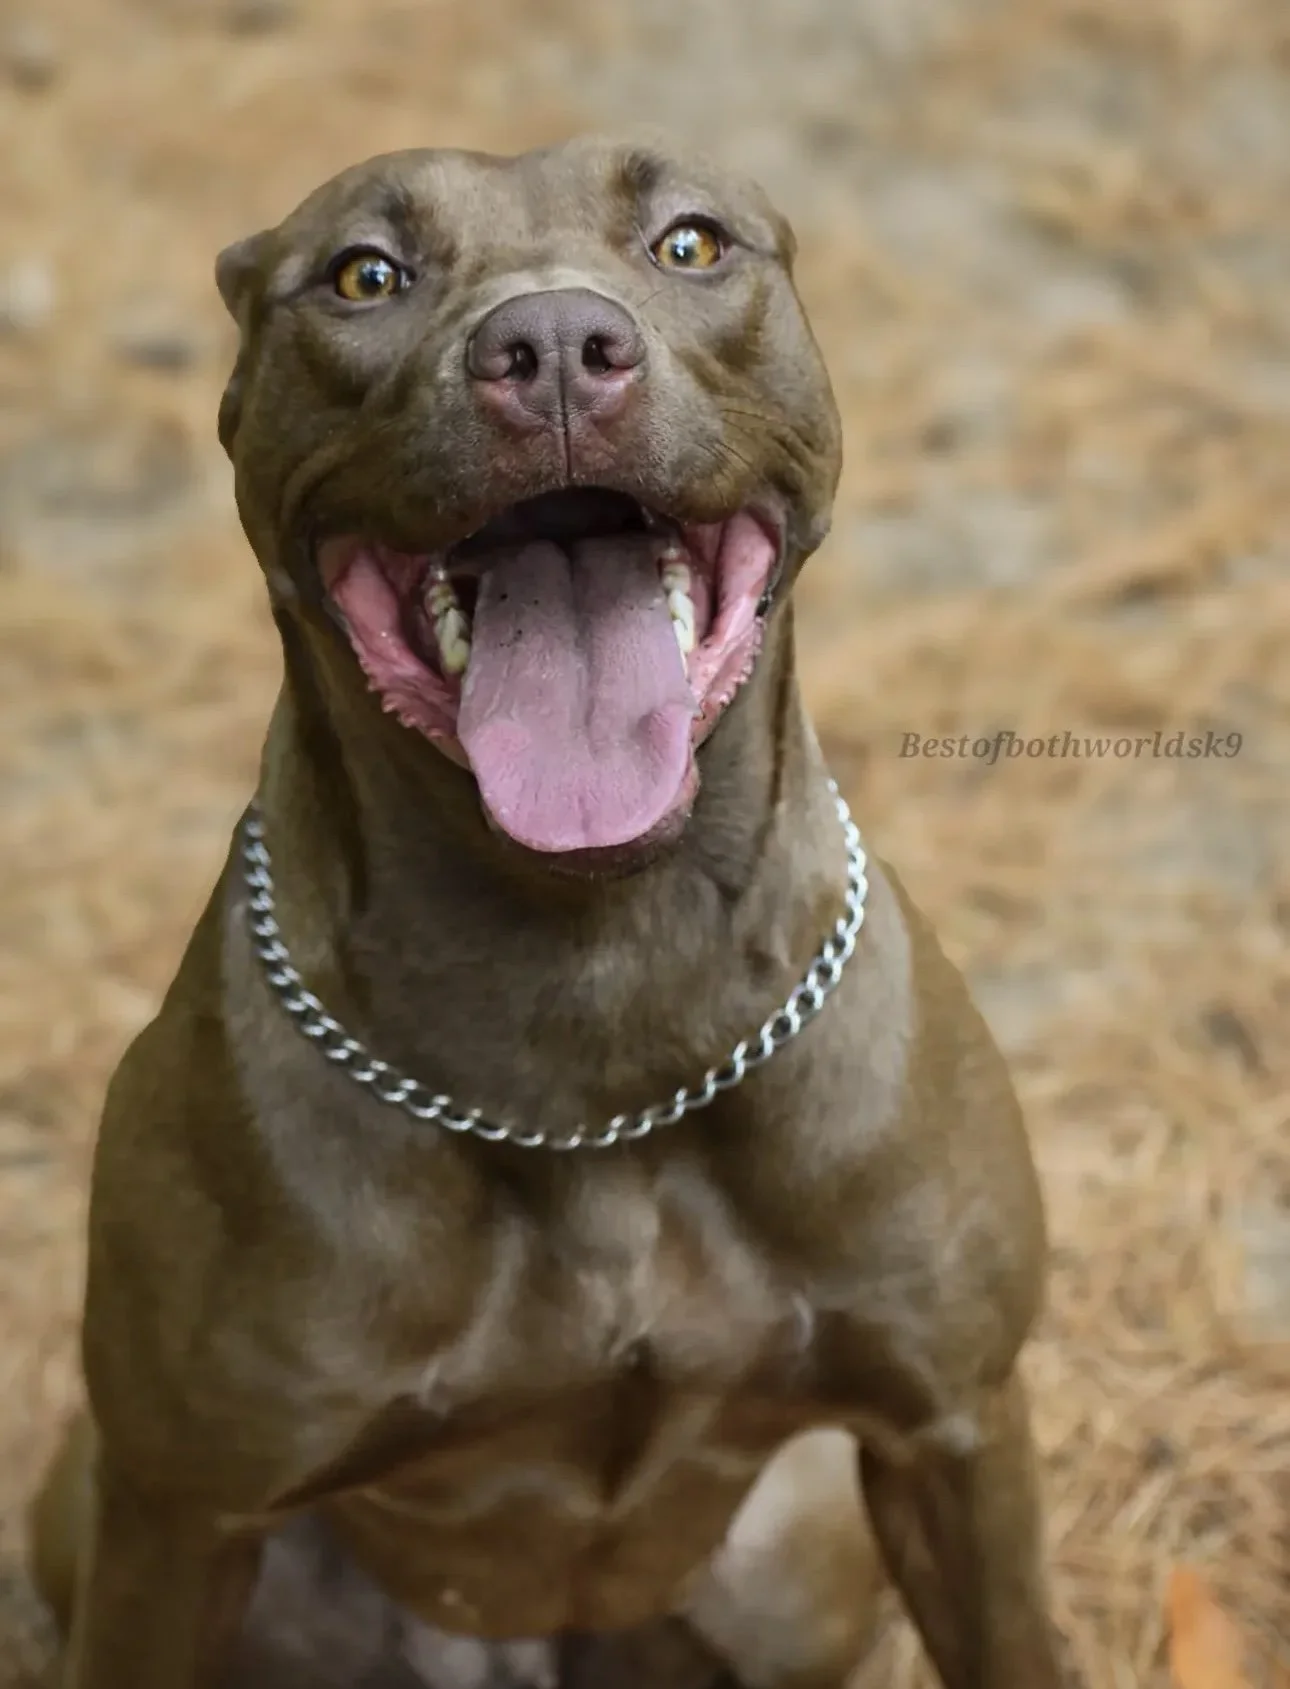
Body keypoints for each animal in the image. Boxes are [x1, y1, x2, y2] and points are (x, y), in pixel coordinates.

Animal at [28, 133, 1067, 1688]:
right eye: (365, 274)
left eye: (692, 244)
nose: (557, 347)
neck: (596, 981)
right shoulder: (180, 1513)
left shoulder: (954, 1433)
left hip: (799, 1567)